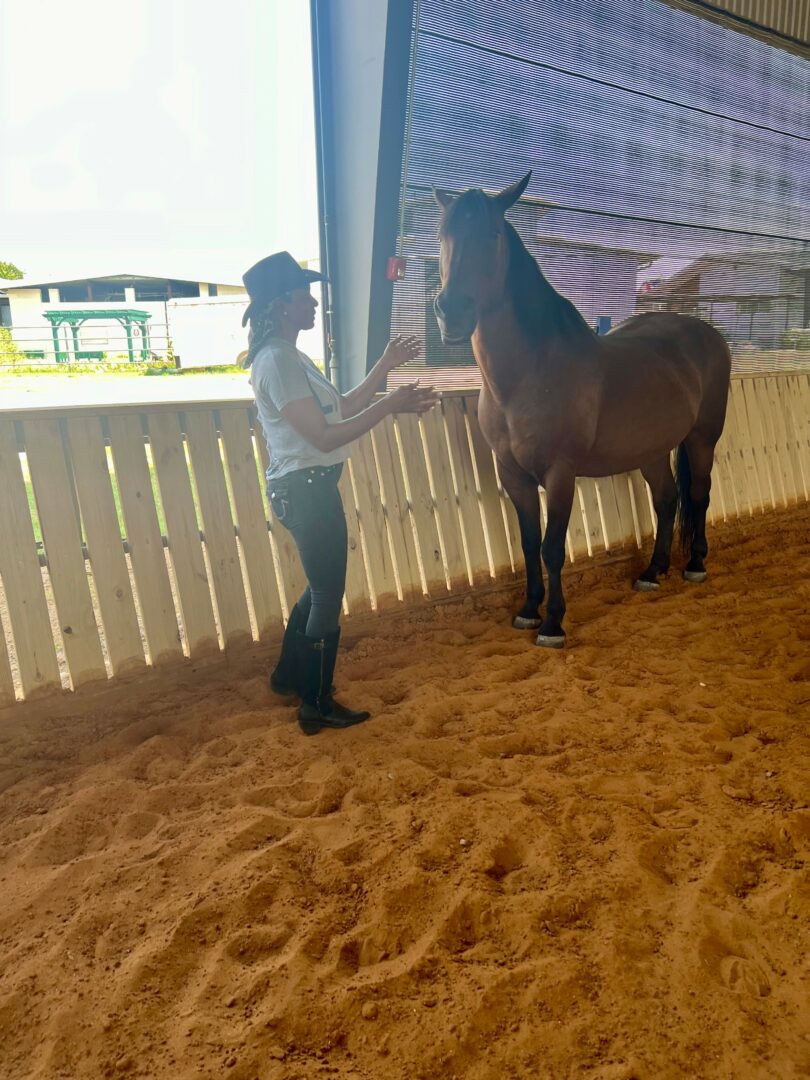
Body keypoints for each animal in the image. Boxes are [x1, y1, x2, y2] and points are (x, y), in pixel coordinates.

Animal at [433, 172, 731, 647]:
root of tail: (708, 333)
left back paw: (695, 565)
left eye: (493, 233)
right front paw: (527, 611)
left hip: (702, 439)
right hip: (650, 452)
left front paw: (553, 624)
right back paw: (652, 571)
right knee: (667, 500)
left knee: (699, 495)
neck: (528, 375)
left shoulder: (560, 473)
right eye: (443, 234)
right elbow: (529, 544)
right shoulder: (513, 475)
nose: (452, 313)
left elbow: (553, 548)